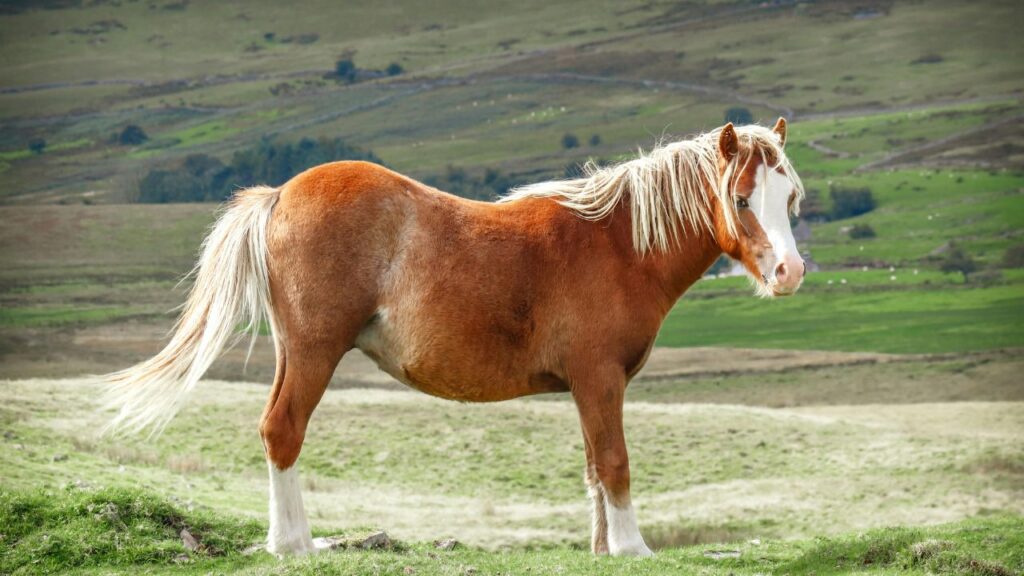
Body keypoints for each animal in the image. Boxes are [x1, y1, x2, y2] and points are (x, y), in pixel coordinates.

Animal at [102, 119, 806, 557]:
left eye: (790, 198)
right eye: (742, 199)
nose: (789, 272)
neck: (617, 244)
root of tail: (279, 193)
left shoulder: (587, 389)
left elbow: (593, 470)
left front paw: (605, 549)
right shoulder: (600, 379)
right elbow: (615, 463)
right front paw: (634, 548)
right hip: (311, 353)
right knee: (283, 431)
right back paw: (294, 545)